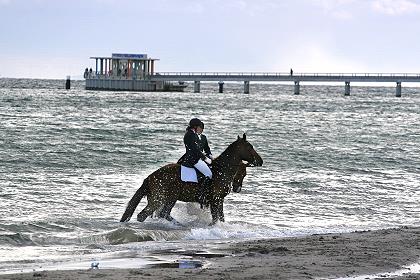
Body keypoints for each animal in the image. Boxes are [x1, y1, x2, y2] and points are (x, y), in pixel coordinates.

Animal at [119, 134, 262, 225]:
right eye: (249, 147)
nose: (260, 161)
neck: (221, 170)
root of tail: (150, 177)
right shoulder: (216, 199)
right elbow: (216, 218)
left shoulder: (218, 200)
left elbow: (220, 218)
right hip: (162, 198)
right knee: (147, 215)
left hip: (165, 199)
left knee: (162, 214)